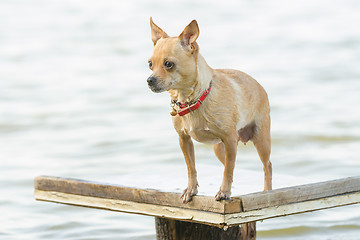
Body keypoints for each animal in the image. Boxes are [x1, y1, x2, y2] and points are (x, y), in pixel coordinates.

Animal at [146, 17, 272, 203]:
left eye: (168, 64)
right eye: (150, 64)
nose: (149, 80)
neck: (191, 101)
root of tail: (260, 86)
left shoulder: (230, 139)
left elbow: (227, 171)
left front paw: (224, 192)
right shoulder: (184, 140)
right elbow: (191, 167)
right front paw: (191, 189)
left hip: (260, 140)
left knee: (266, 165)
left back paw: (267, 191)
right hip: (220, 149)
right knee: (231, 164)